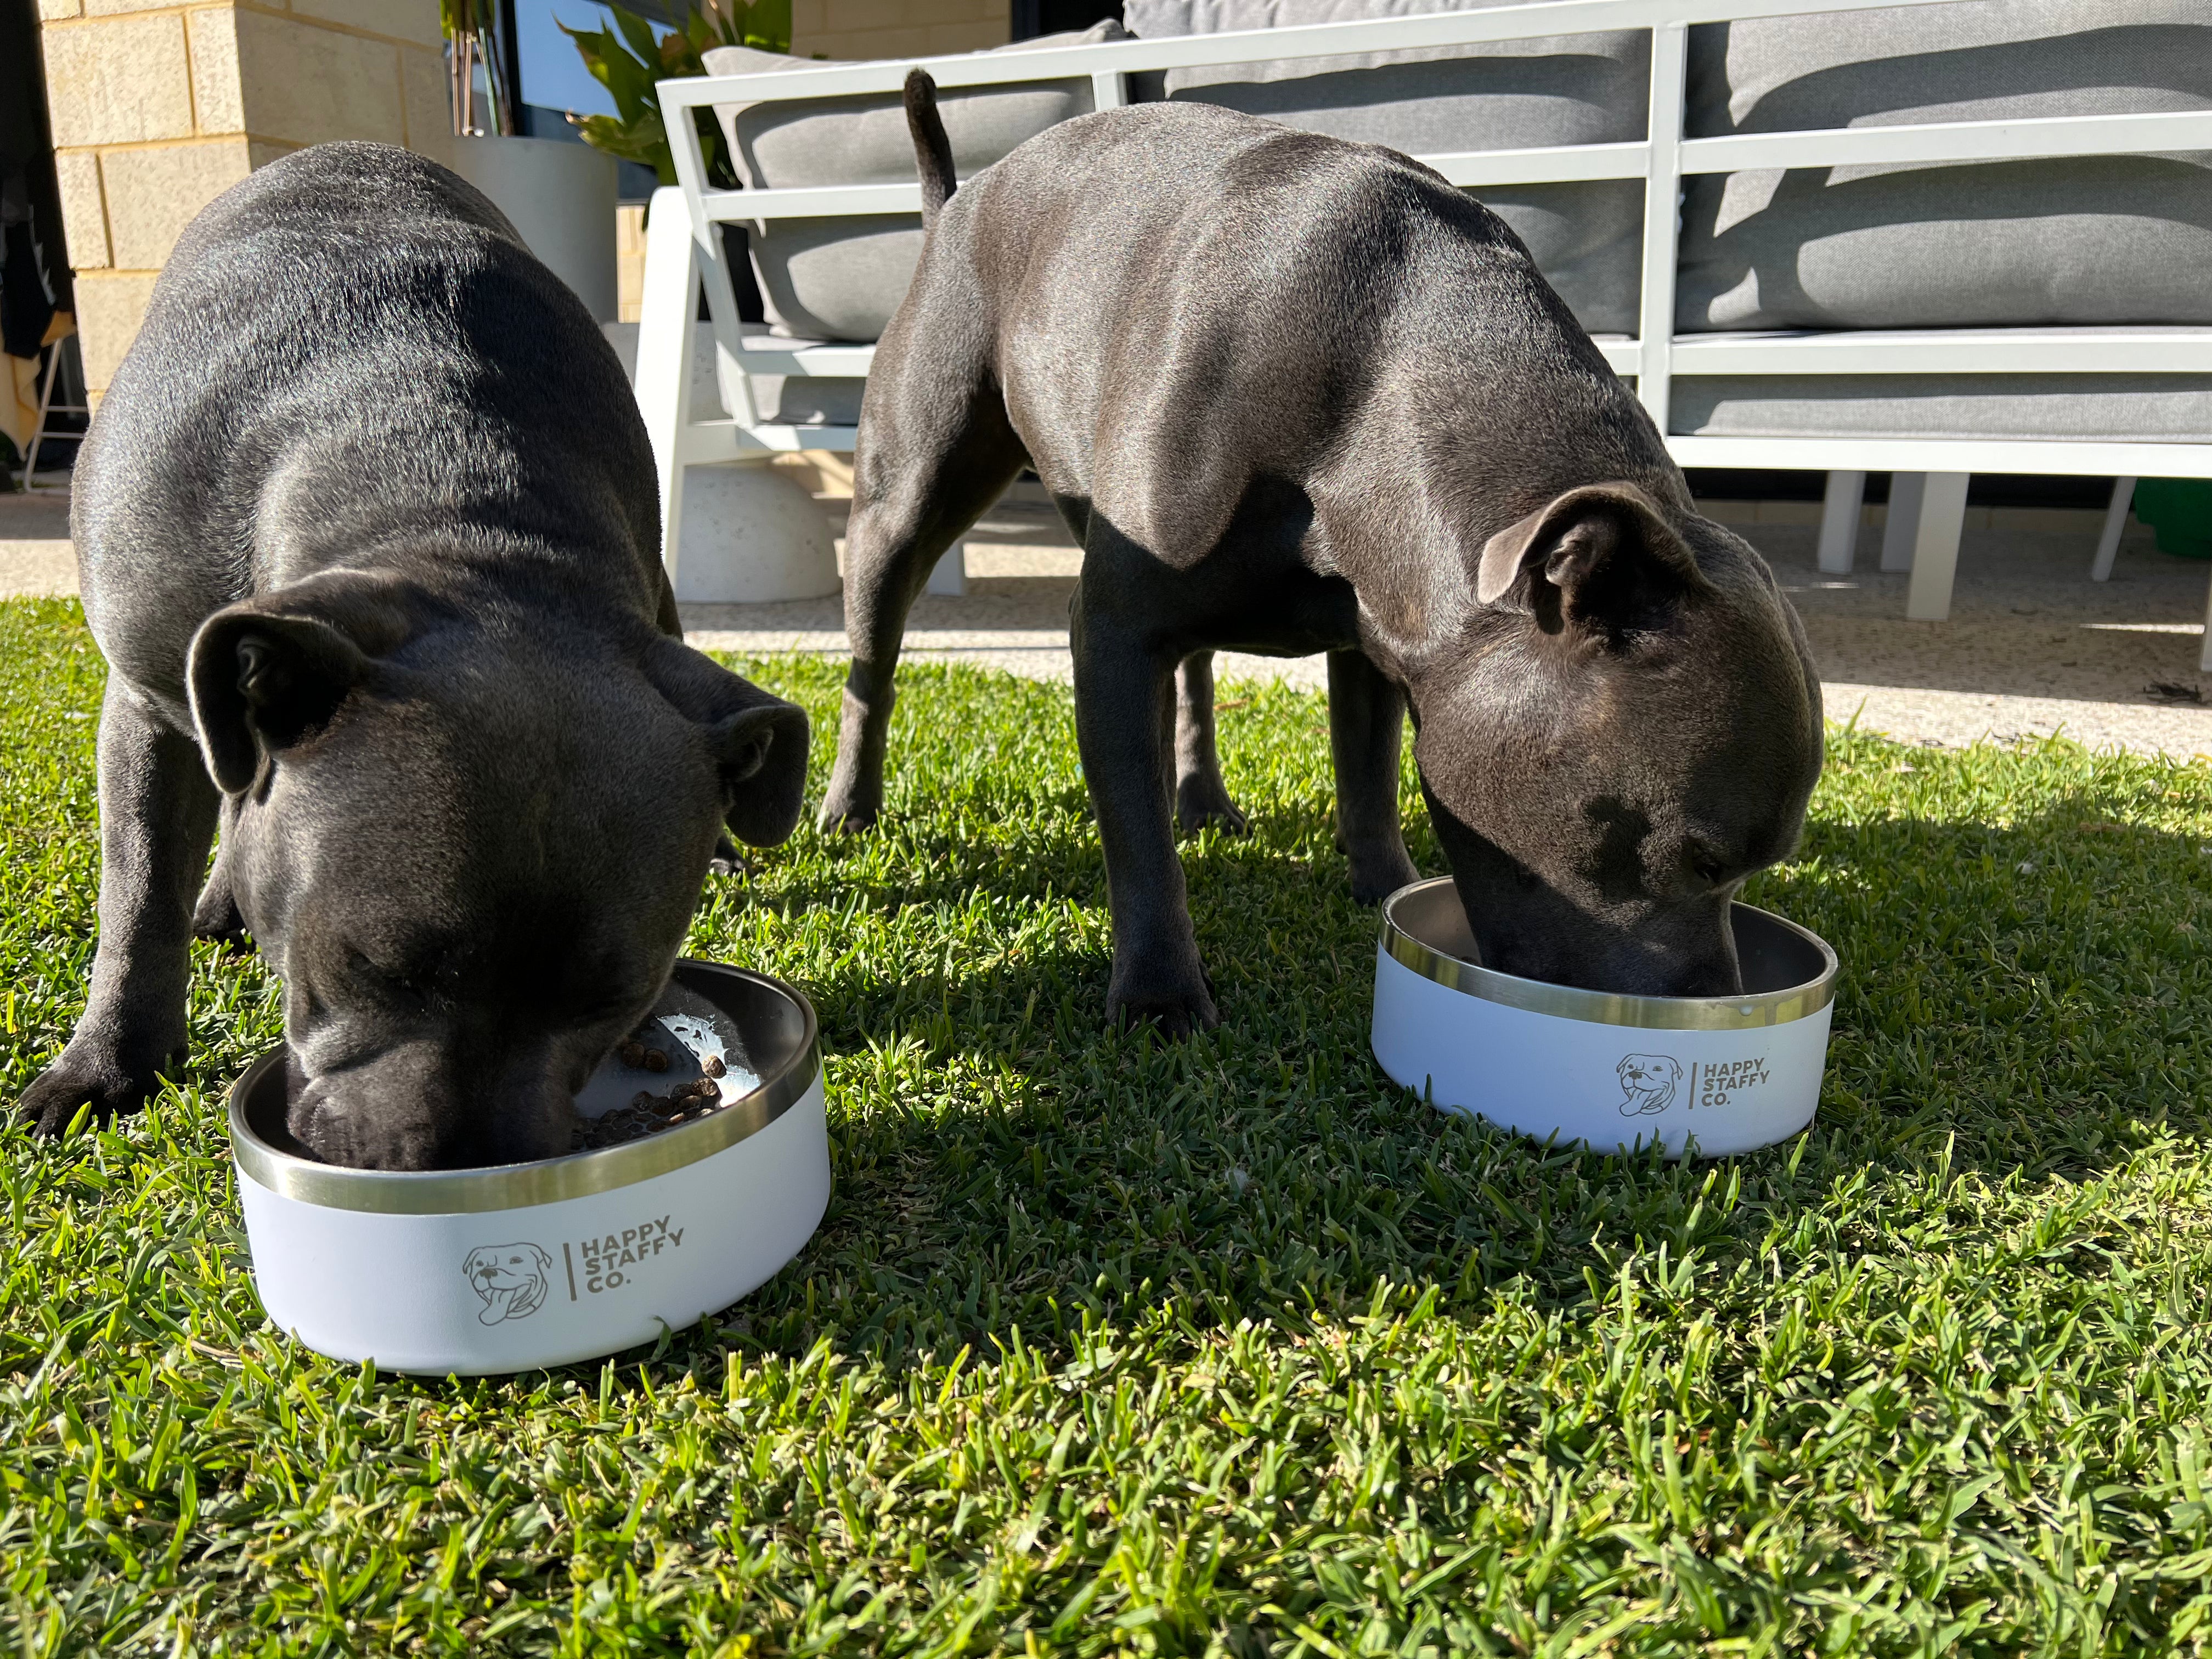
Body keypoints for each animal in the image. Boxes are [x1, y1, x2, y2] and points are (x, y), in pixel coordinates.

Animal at [17, 146, 814, 1186]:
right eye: (375, 967)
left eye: (618, 1001)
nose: (472, 1167)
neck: (448, 501)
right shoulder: (146, 699)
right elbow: (139, 891)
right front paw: (108, 1063)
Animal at [822, 81, 1822, 1040]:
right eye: (1700, 857)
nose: (1716, 1004)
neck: (1377, 383)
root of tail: (958, 200)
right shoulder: (1113, 629)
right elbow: (1134, 830)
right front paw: (1158, 991)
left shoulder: (1382, 635)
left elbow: (1367, 773)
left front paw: (1383, 883)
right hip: (904, 501)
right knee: (874, 664)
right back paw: (848, 808)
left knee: (1195, 675)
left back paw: (1203, 798)